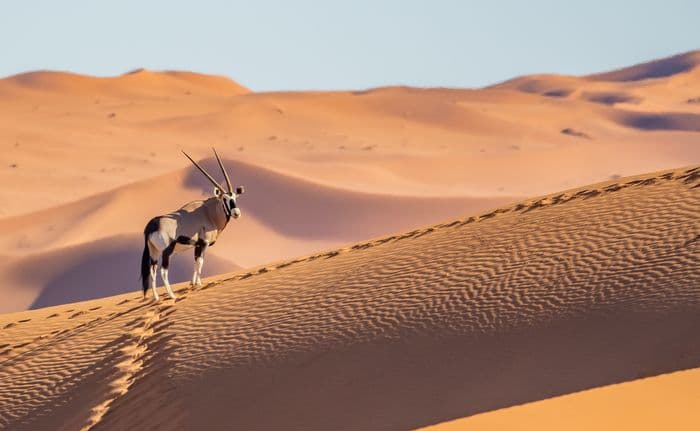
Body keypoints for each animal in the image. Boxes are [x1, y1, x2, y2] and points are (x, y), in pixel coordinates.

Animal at [139, 150, 243, 302]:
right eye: (224, 199)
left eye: (234, 197)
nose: (236, 213)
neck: (208, 212)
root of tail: (152, 225)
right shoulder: (203, 243)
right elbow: (200, 263)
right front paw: (198, 284)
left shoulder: (196, 245)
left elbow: (195, 263)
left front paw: (193, 283)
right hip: (166, 251)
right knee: (163, 271)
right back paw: (172, 295)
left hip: (154, 252)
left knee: (152, 271)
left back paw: (157, 298)